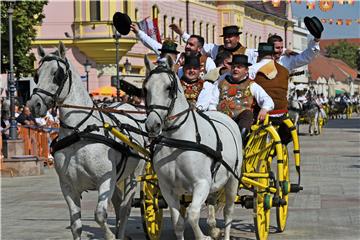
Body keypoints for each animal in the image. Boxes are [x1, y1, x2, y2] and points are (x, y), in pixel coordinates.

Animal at [143, 56, 242, 240]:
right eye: (145, 88)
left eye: (169, 87)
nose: (152, 125)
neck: (177, 142)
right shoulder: (167, 188)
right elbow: (178, 223)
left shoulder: (201, 183)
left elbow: (193, 214)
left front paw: (204, 237)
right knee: (212, 202)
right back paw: (213, 228)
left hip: (233, 180)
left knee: (229, 213)